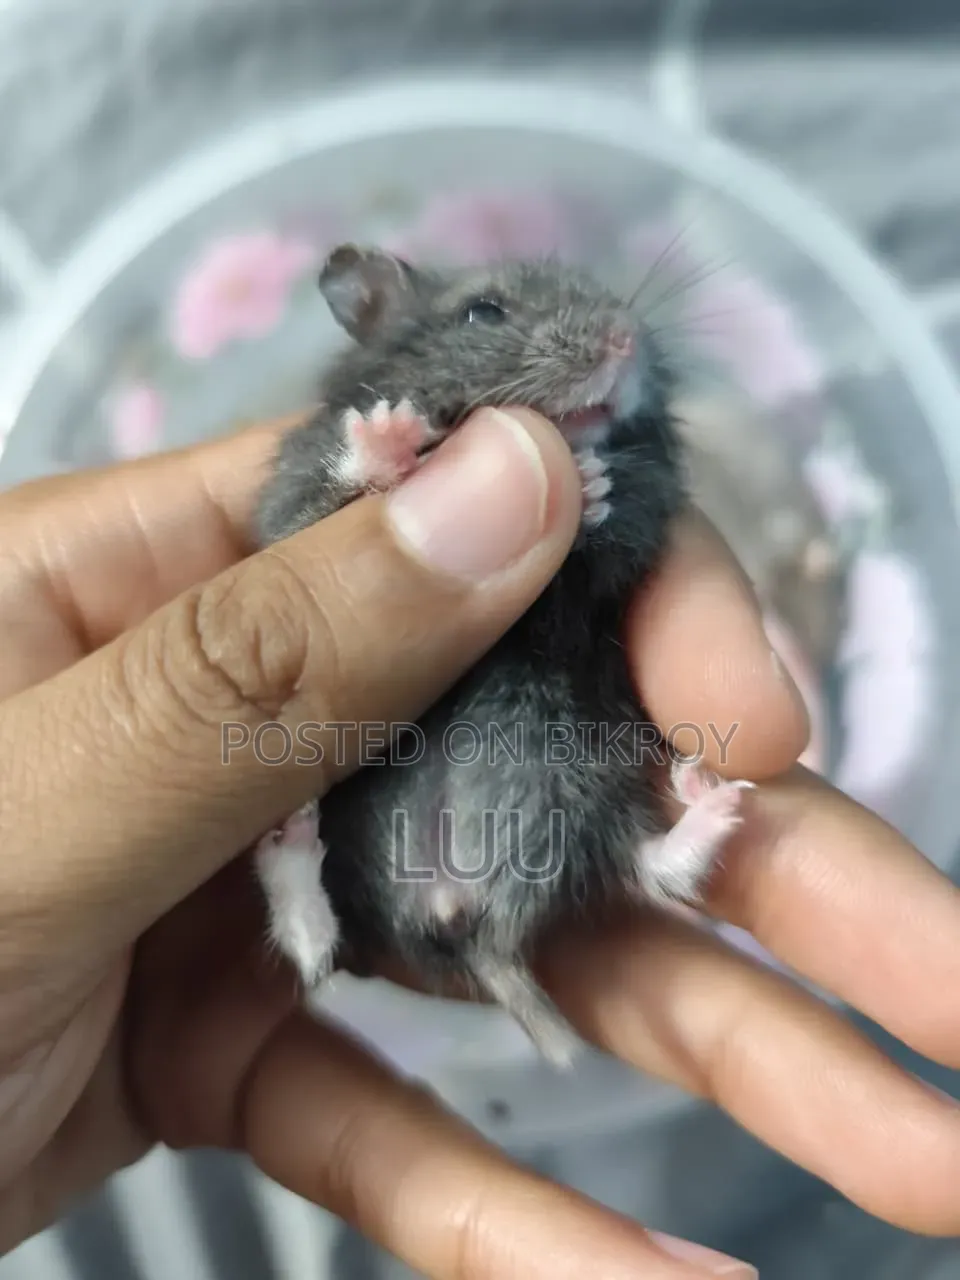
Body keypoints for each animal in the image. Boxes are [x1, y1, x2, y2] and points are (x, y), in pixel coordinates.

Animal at [252, 244, 754, 1067]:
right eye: (482, 312)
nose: (624, 339)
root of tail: (456, 904)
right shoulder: (287, 514)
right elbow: (333, 494)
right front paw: (389, 434)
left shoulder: (618, 555)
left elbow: (598, 547)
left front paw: (592, 482)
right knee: (317, 947)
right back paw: (287, 840)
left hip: (575, 775)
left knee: (643, 868)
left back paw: (713, 801)